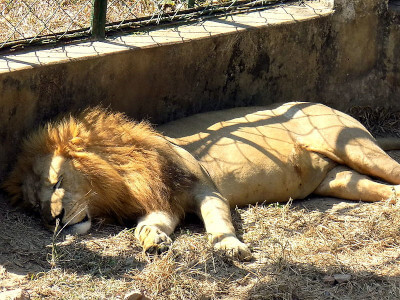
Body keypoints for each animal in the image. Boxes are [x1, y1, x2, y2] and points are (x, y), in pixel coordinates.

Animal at [3, 101, 400, 260]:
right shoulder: (163, 204)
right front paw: (153, 240)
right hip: (341, 181)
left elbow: (218, 221)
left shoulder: (206, 190)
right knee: (386, 190)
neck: (118, 182)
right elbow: (149, 226)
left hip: (354, 147)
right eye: (36, 208)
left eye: (57, 182)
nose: (54, 220)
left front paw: (231, 247)